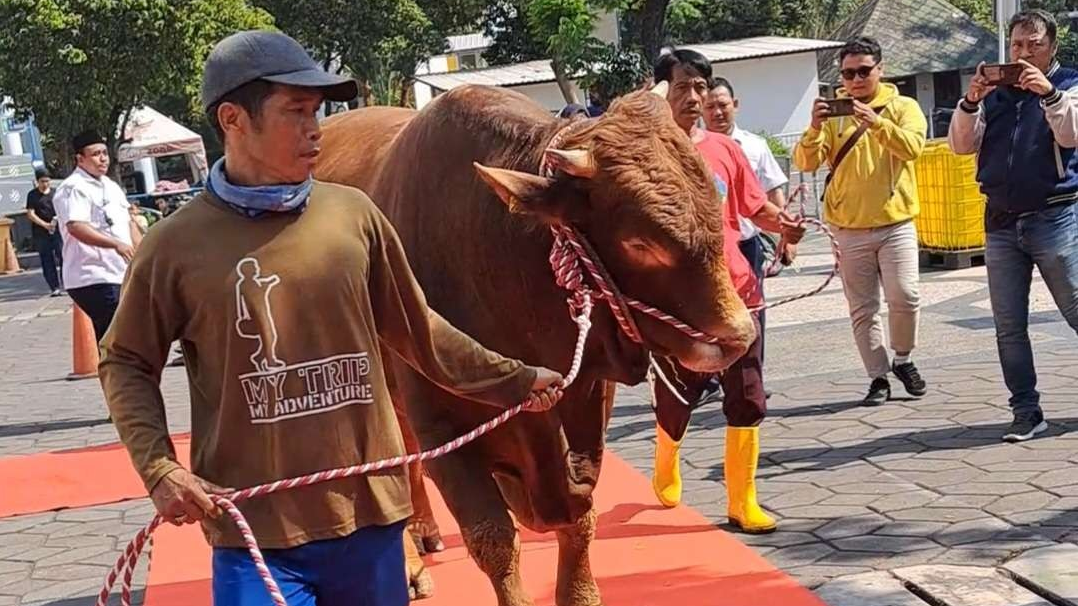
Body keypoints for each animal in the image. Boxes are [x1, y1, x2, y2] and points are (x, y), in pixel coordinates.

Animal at [314, 85, 754, 603]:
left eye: (713, 204)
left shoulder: (585, 409)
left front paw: (581, 591)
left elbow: (579, 516)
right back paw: (410, 563)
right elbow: (492, 537)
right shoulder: (443, 429)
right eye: (640, 242)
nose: (740, 334)